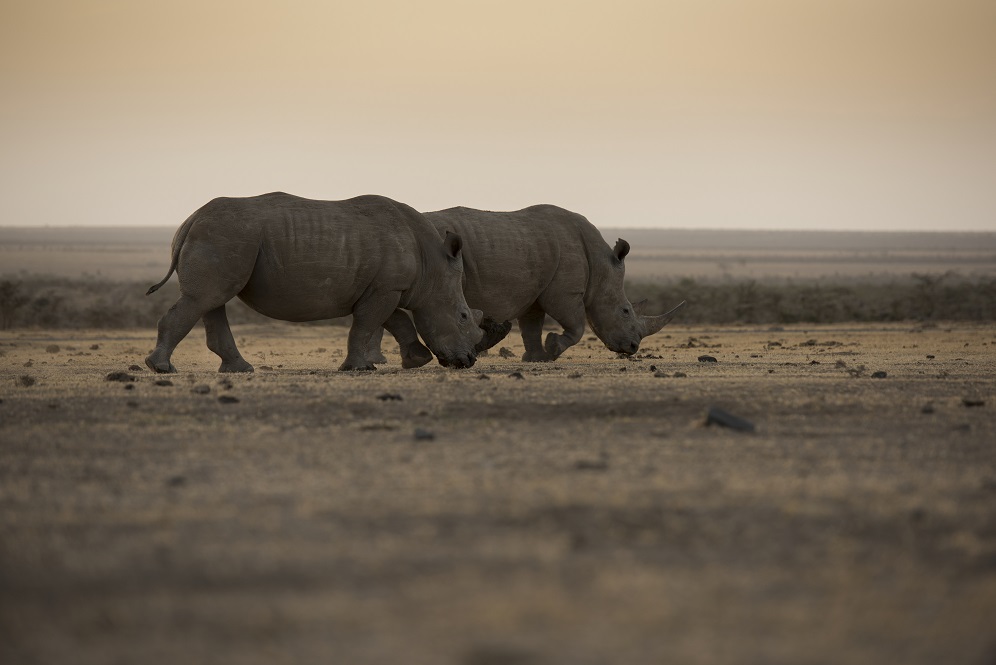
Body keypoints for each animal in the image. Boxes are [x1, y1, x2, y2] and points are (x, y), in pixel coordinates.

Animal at [146, 192, 484, 374]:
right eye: (464, 316)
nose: (467, 362)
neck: (432, 268)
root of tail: (191, 219)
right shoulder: (386, 288)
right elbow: (367, 324)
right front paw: (359, 369)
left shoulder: (384, 287)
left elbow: (394, 320)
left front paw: (417, 360)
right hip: (225, 234)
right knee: (205, 298)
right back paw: (161, 368)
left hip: (223, 236)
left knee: (211, 300)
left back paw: (240, 369)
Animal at [374, 205, 684, 366]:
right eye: (625, 311)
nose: (632, 347)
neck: (600, 264)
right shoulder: (565, 291)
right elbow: (576, 325)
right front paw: (554, 348)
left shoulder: (537, 291)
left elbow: (532, 325)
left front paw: (536, 358)